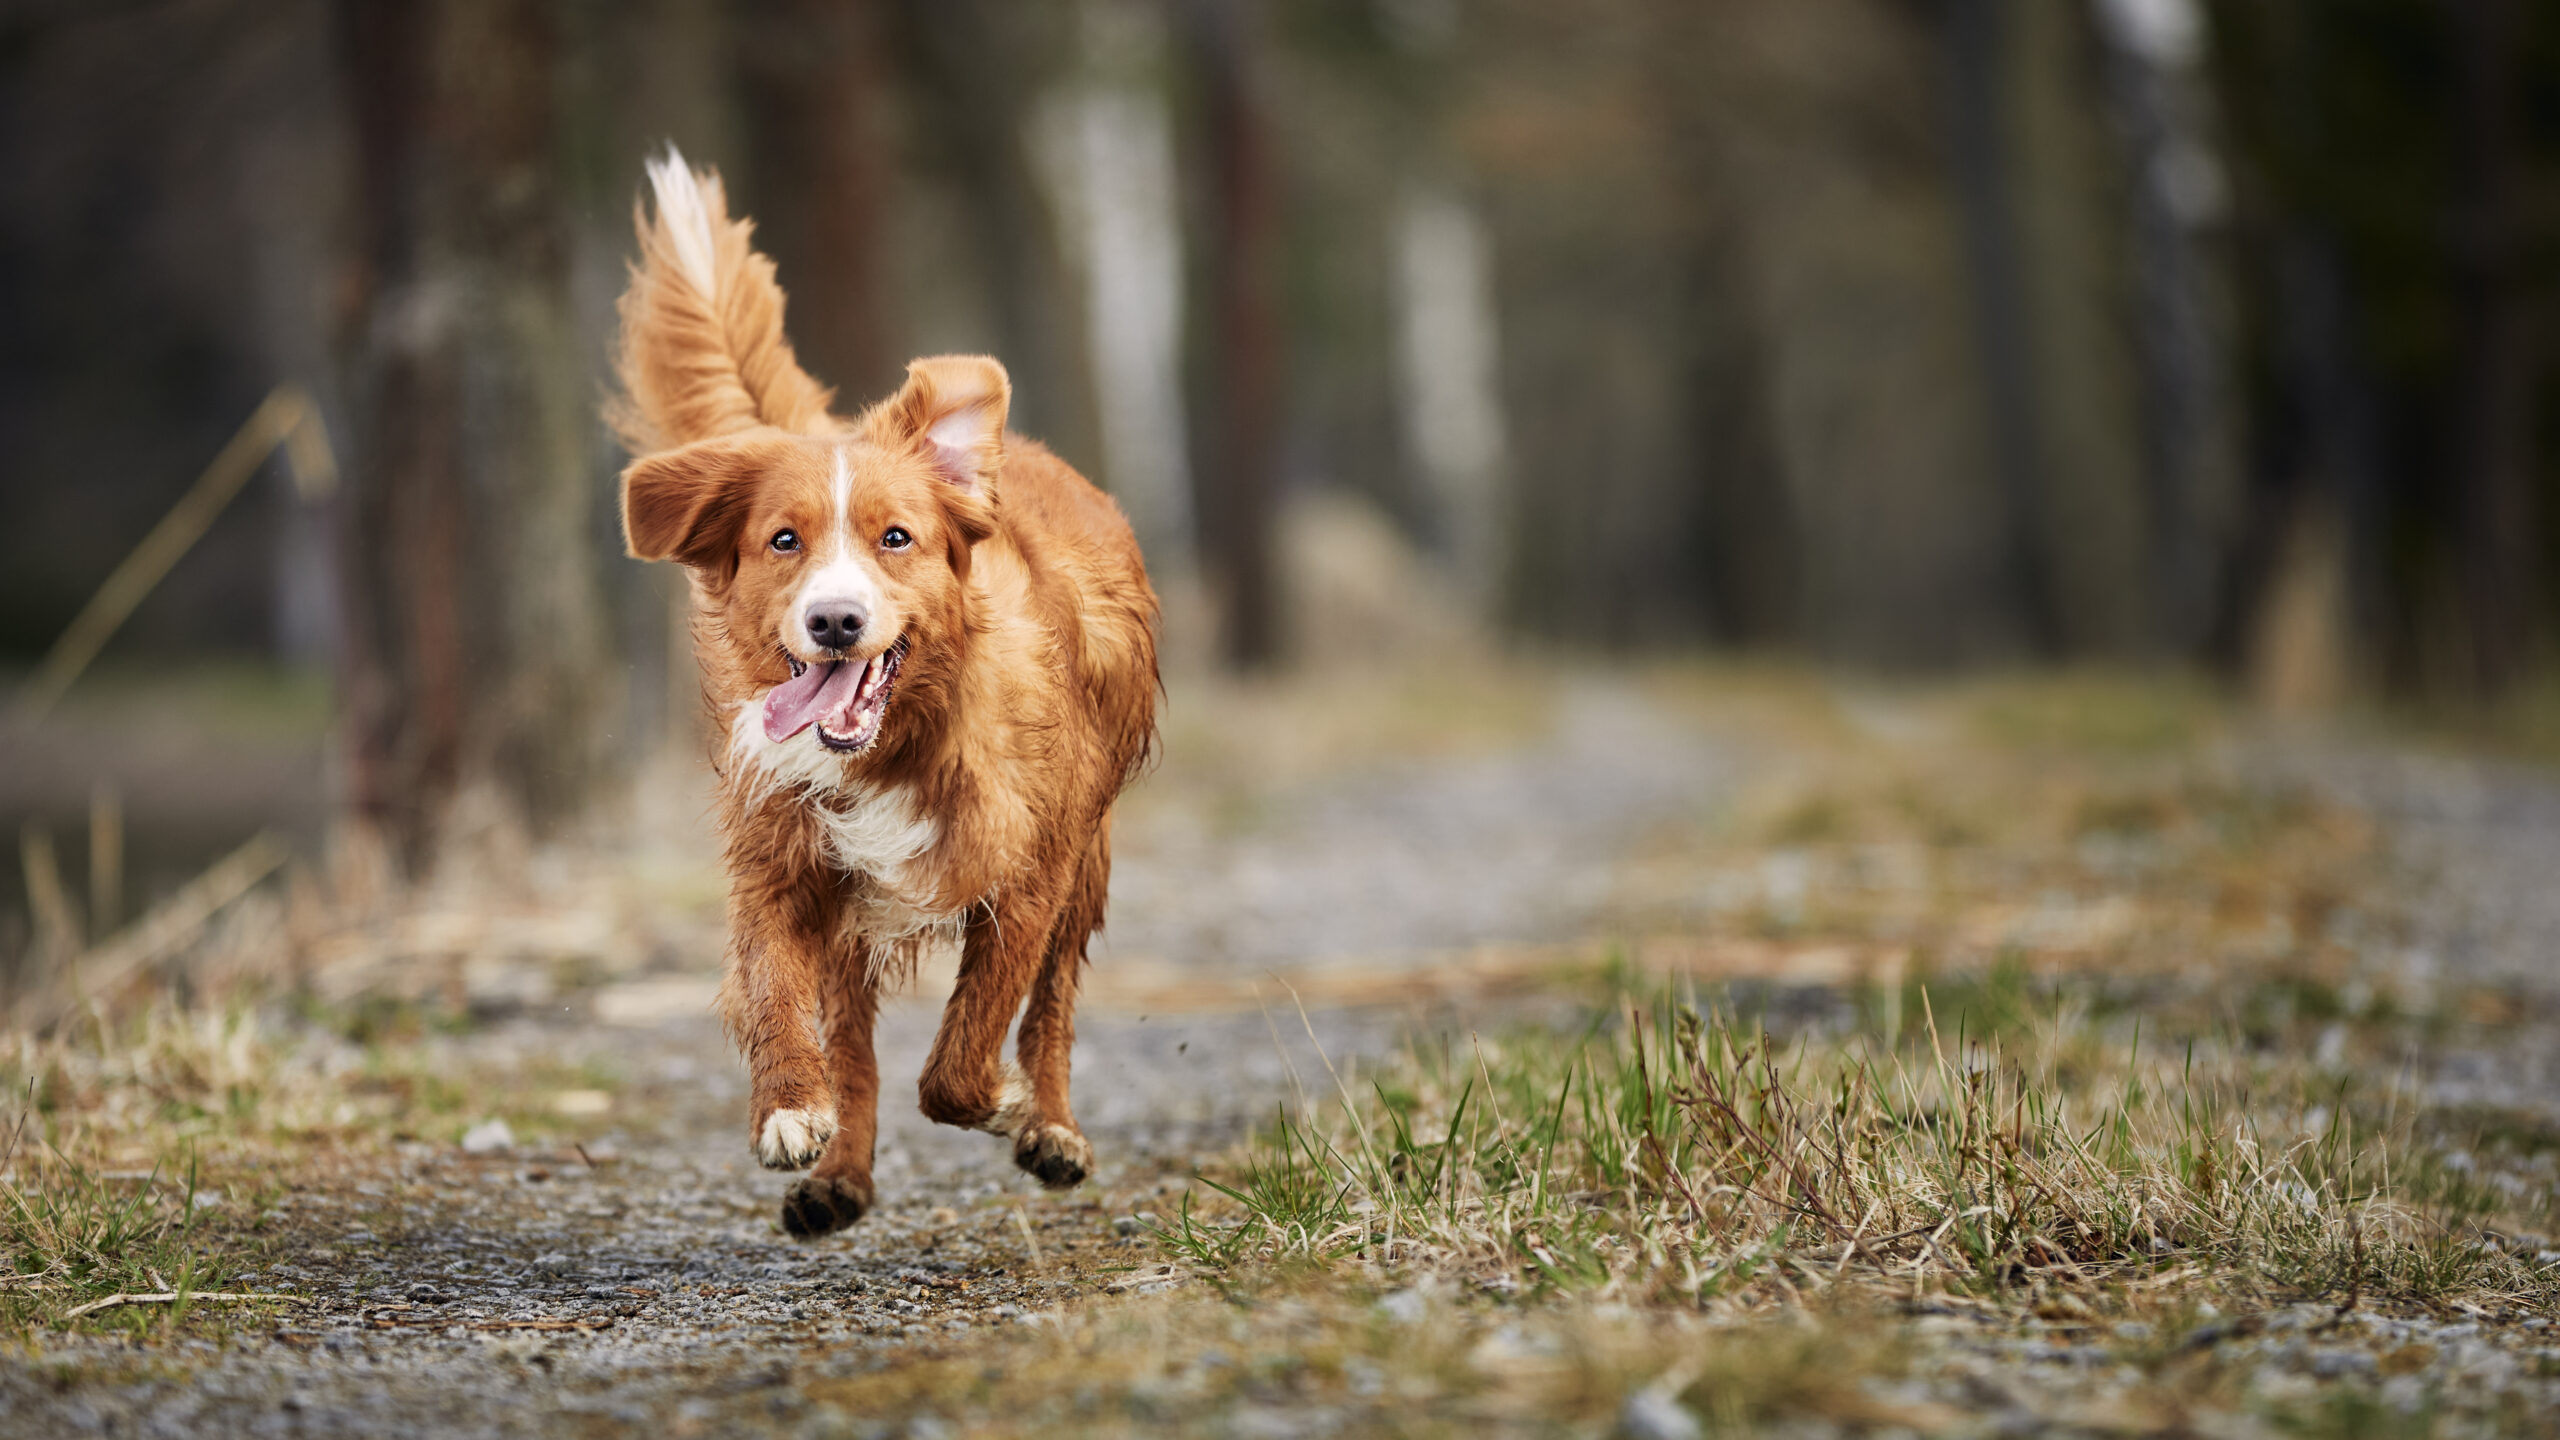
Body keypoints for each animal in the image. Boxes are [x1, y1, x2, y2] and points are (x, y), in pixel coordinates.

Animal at [604, 148, 1157, 1235]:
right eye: (783, 540)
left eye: (895, 538)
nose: (833, 622)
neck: (900, 744)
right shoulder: (780, 863)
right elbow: (774, 991)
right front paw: (788, 1107)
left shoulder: (1029, 874)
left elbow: (966, 1053)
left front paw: (1006, 1105)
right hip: (852, 920)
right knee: (853, 1042)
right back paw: (843, 1174)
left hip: (1090, 860)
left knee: (1054, 1006)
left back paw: (1051, 1123)